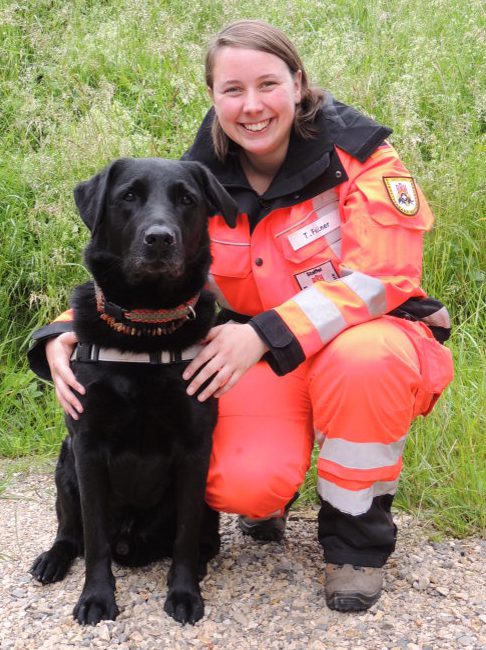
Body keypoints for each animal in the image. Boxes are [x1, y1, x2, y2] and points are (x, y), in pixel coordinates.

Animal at [29, 157, 237, 624]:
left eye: (186, 199)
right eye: (128, 196)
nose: (159, 239)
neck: (145, 328)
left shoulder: (195, 448)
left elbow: (184, 536)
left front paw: (184, 593)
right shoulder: (87, 446)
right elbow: (95, 541)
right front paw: (96, 598)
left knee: (200, 539)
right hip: (65, 465)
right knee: (72, 533)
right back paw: (52, 558)